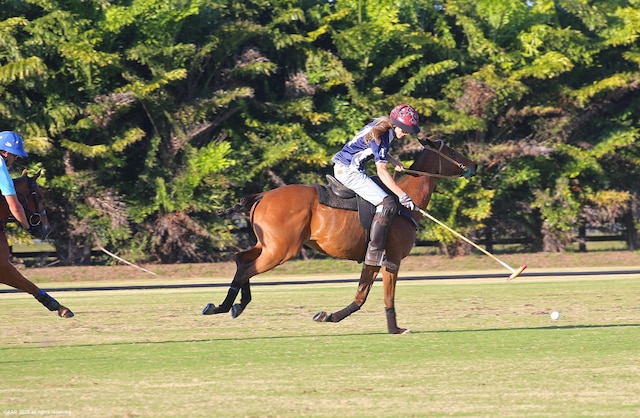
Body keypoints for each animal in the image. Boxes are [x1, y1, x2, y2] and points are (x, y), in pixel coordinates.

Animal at [204, 140, 476, 334]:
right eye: (451, 150)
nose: (473, 166)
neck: (402, 201)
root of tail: (263, 196)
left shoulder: (375, 256)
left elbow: (361, 294)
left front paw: (329, 316)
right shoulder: (392, 257)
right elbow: (382, 295)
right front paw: (395, 329)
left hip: (267, 244)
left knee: (241, 259)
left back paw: (228, 305)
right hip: (281, 250)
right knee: (247, 268)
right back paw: (228, 306)